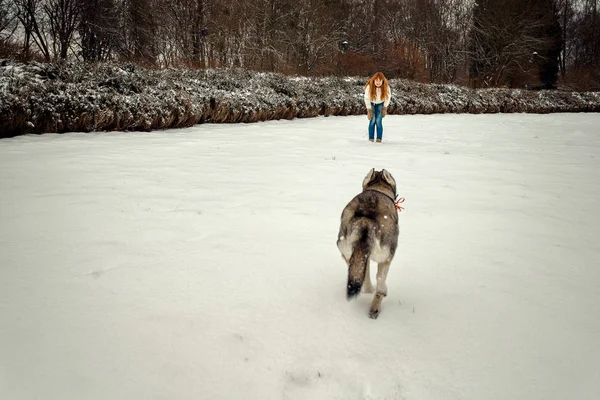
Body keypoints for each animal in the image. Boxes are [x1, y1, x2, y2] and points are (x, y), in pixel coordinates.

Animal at [338, 169, 398, 318]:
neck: (377, 189)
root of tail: (365, 220)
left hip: (347, 251)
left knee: (360, 274)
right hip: (386, 256)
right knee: (380, 283)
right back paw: (376, 306)